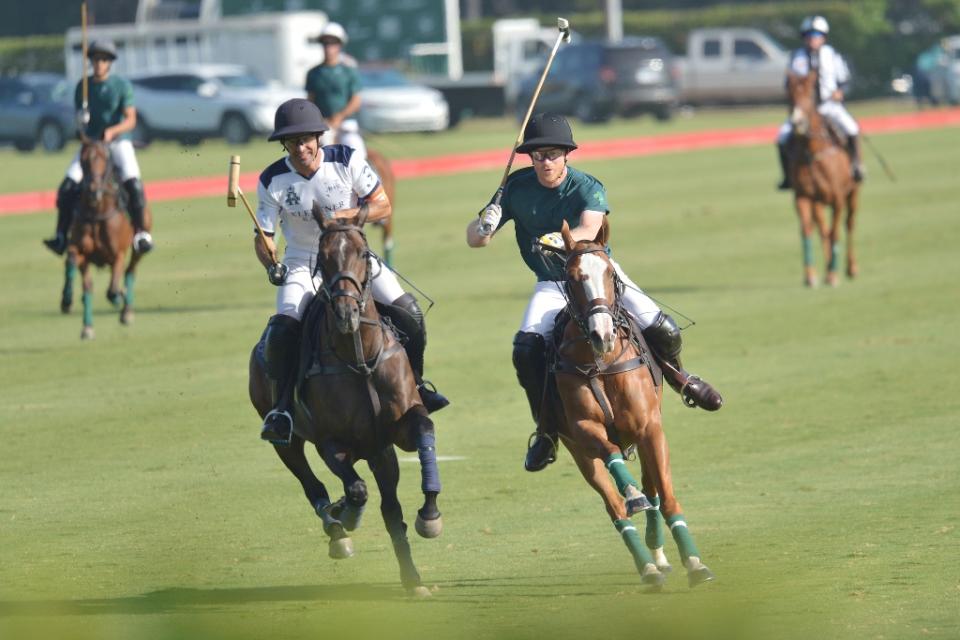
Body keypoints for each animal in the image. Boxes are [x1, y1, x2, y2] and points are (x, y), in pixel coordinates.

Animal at [62, 140, 152, 340]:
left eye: (105, 159)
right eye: (83, 161)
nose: (93, 191)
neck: (97, 211)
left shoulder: (117, 255)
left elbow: (112, 289)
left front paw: (118, 297)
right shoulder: (81, 253)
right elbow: (84, 283)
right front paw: (82, 320)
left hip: (139, 246)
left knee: (130, 270)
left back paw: (126, 310)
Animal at [248, 204, 442, 596]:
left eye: (363, 253)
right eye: (321, 259)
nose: (346, 314)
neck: (360, 358)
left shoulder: (397, 432)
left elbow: (425, 429)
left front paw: (429, 516)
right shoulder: (332, 443)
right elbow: (355, 489)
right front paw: (345, 515)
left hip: (380, 452)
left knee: (390, 510)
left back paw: (410, 576)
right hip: (287, 439)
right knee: (312, 484)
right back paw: (337, 527)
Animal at [540, 219, 712, 592]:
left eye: (610, 273)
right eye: (571, 277)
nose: (602, 335)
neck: (600, 363)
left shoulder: (650, 427)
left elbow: (667, 495)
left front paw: (695, 563)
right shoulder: (582, 430)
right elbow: (612, 459)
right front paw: (631, 492)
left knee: (654, 490)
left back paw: (658, 556)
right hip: (580, 456)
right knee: (615, 508)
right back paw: (647, 566)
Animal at [784, 70, 860, 288]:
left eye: (810, 94)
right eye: (789, 94)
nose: (797, 123)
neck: (812, 151)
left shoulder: (838, 199)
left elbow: (835, 232)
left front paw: (833, 275)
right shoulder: (802, 198)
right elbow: (807, 231)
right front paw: (811, 275)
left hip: (853, 194)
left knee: (849, 225)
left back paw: (850, 268)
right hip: (818, 203)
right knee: (822, 230)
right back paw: (828, 265)